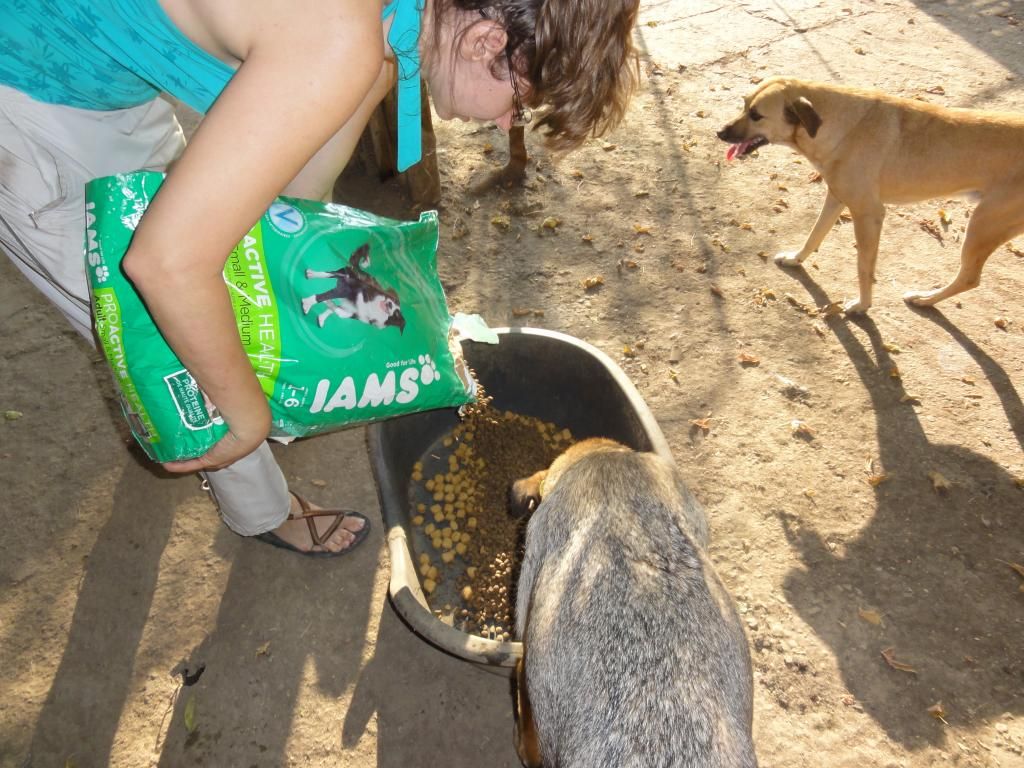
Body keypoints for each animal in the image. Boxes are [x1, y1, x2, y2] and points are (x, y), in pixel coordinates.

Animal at [716, 77, 1024, 313]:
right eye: (744, 104)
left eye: (756, 115)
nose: (719, 132)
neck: (842, 125)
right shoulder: (836, 197)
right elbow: (814, 235)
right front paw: (796, 259)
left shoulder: (868, 214)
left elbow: (864, 267)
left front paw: (862, 307)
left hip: (983, 224)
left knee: (970, 278)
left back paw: (924, 299)